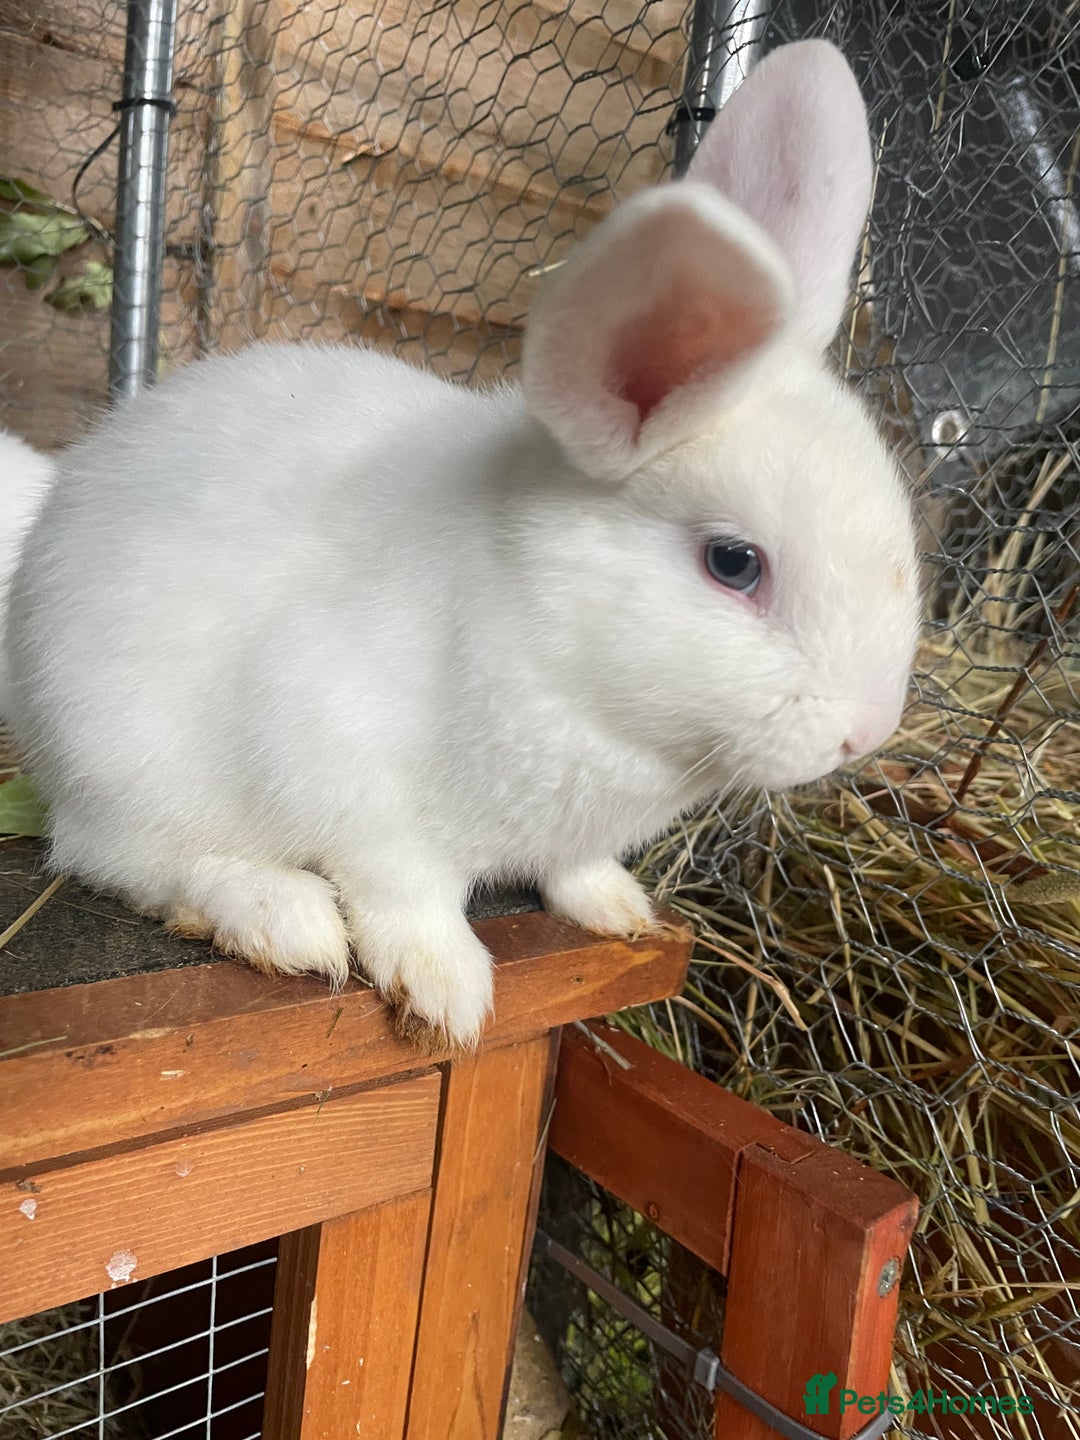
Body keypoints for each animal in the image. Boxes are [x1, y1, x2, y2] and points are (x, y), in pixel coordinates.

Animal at [4, 40, 920, 1048]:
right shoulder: (355, 779)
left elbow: (574, 871)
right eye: (734, 563)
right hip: (126, 755)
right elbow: (405, 896)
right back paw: (282, 918)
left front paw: (619, 911)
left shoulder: (568, 832)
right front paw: (447, 992)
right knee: (117, 855)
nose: (868, 731)